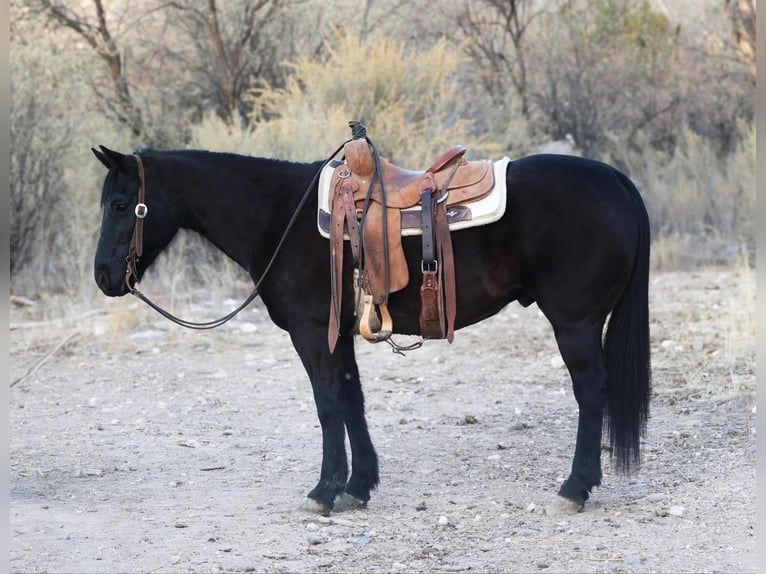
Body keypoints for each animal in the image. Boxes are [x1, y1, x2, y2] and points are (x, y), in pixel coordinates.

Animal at [93, 144, 652, 516]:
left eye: (121, 204)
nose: (103, 276)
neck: (280, 216)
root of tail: (619, 182)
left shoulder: (311, 333)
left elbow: (327, 405)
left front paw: (324, 490)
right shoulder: (339, 334)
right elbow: (351, 400)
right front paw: (358, 485)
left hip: (575, 324)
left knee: (591, 390)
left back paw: (576, 487)